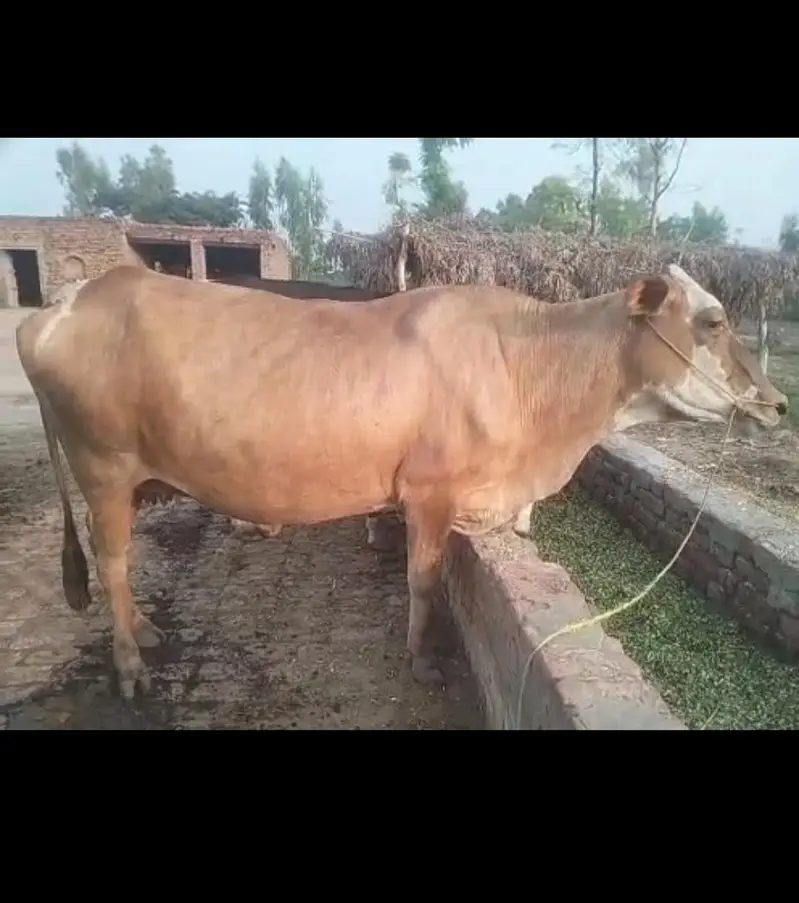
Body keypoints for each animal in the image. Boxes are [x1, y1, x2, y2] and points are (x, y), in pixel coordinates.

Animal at [15, 264, 788, 698]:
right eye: (711, 320)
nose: (779, 404)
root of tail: (67, 300)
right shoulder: (429, 494)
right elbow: (422, 580)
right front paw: (421, 659)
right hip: (103, 470)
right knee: (113, 563)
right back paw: (129, 667)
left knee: (116, 571)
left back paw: (145, 631)